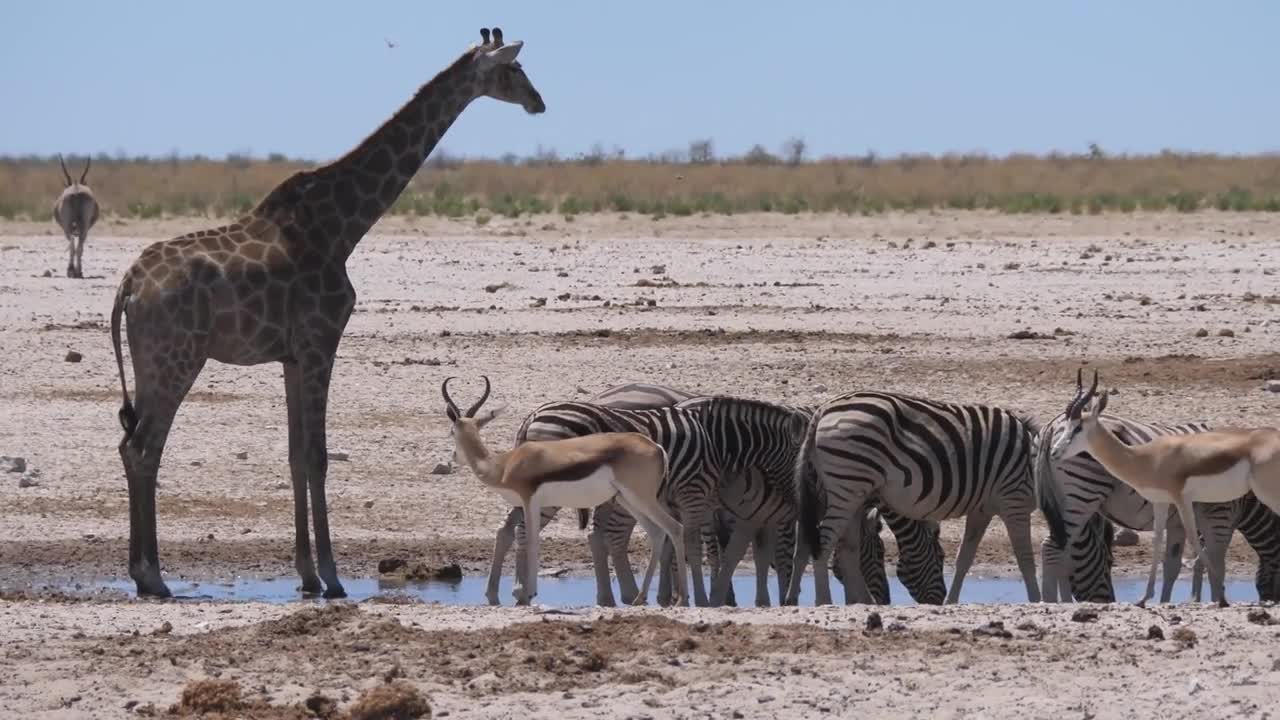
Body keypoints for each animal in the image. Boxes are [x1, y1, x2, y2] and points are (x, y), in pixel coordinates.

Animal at [108, 28, 545, 597]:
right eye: (514, 69)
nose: (539, 102)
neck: (344, 225)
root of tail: (129, 285)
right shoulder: (322, 339)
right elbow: (317, 456)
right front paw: (334, 577)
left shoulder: (292, 355)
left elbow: (297, 456)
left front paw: (308, 575)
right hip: (179, 357)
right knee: (145, 447)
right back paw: (152, 576)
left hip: (149, 360)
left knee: (129, 444)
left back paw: (141, 573)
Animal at [442, 376, 691, 604]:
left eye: (451, 432)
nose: (454, 457)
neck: (503, 465)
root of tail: (656, 447)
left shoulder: (529, 500)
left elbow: (531, 541)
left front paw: (527, 593)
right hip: (628, 499)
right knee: (657, 533)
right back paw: (640, 598)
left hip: (641, 498)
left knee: (675, 528)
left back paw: (680, 599)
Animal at [783, 389, 1044, 602]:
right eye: (939, 556)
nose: (937, 601)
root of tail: (822, 410)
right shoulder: (1014, 499)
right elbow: (1025, 558)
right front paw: (1037, 599)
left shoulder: (981, 508)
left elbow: (965, 558)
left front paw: (951, 602)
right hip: (847, 483)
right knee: (825, 540)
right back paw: (824, 601)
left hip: (846, 489)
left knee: (841, 546)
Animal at [1049, 366, 1280, 602]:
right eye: (1067, 425)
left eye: (1078, 427)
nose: (1055, 452)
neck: (1147, 457)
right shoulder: (1161, 502)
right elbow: (1159, 543)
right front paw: (1144, 599)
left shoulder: (1184, 502)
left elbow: (1196, 547)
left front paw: (1221, 599)